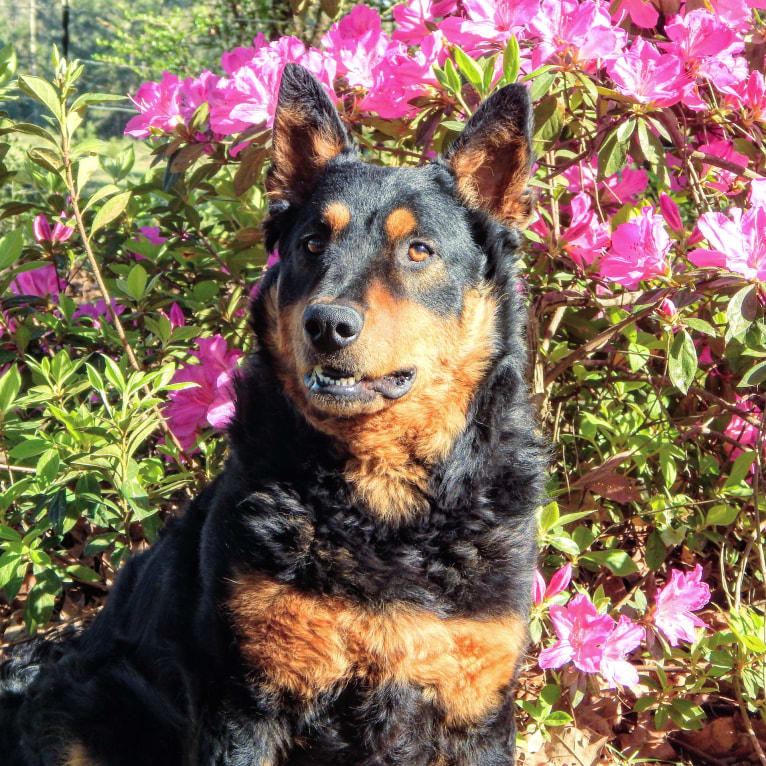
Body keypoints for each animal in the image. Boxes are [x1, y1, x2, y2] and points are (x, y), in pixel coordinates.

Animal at [3, 63, 548, 764]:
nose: (328, 324)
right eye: (312, 243)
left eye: (419, 250)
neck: (382, 505)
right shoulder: (246, 704)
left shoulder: (476, 708)